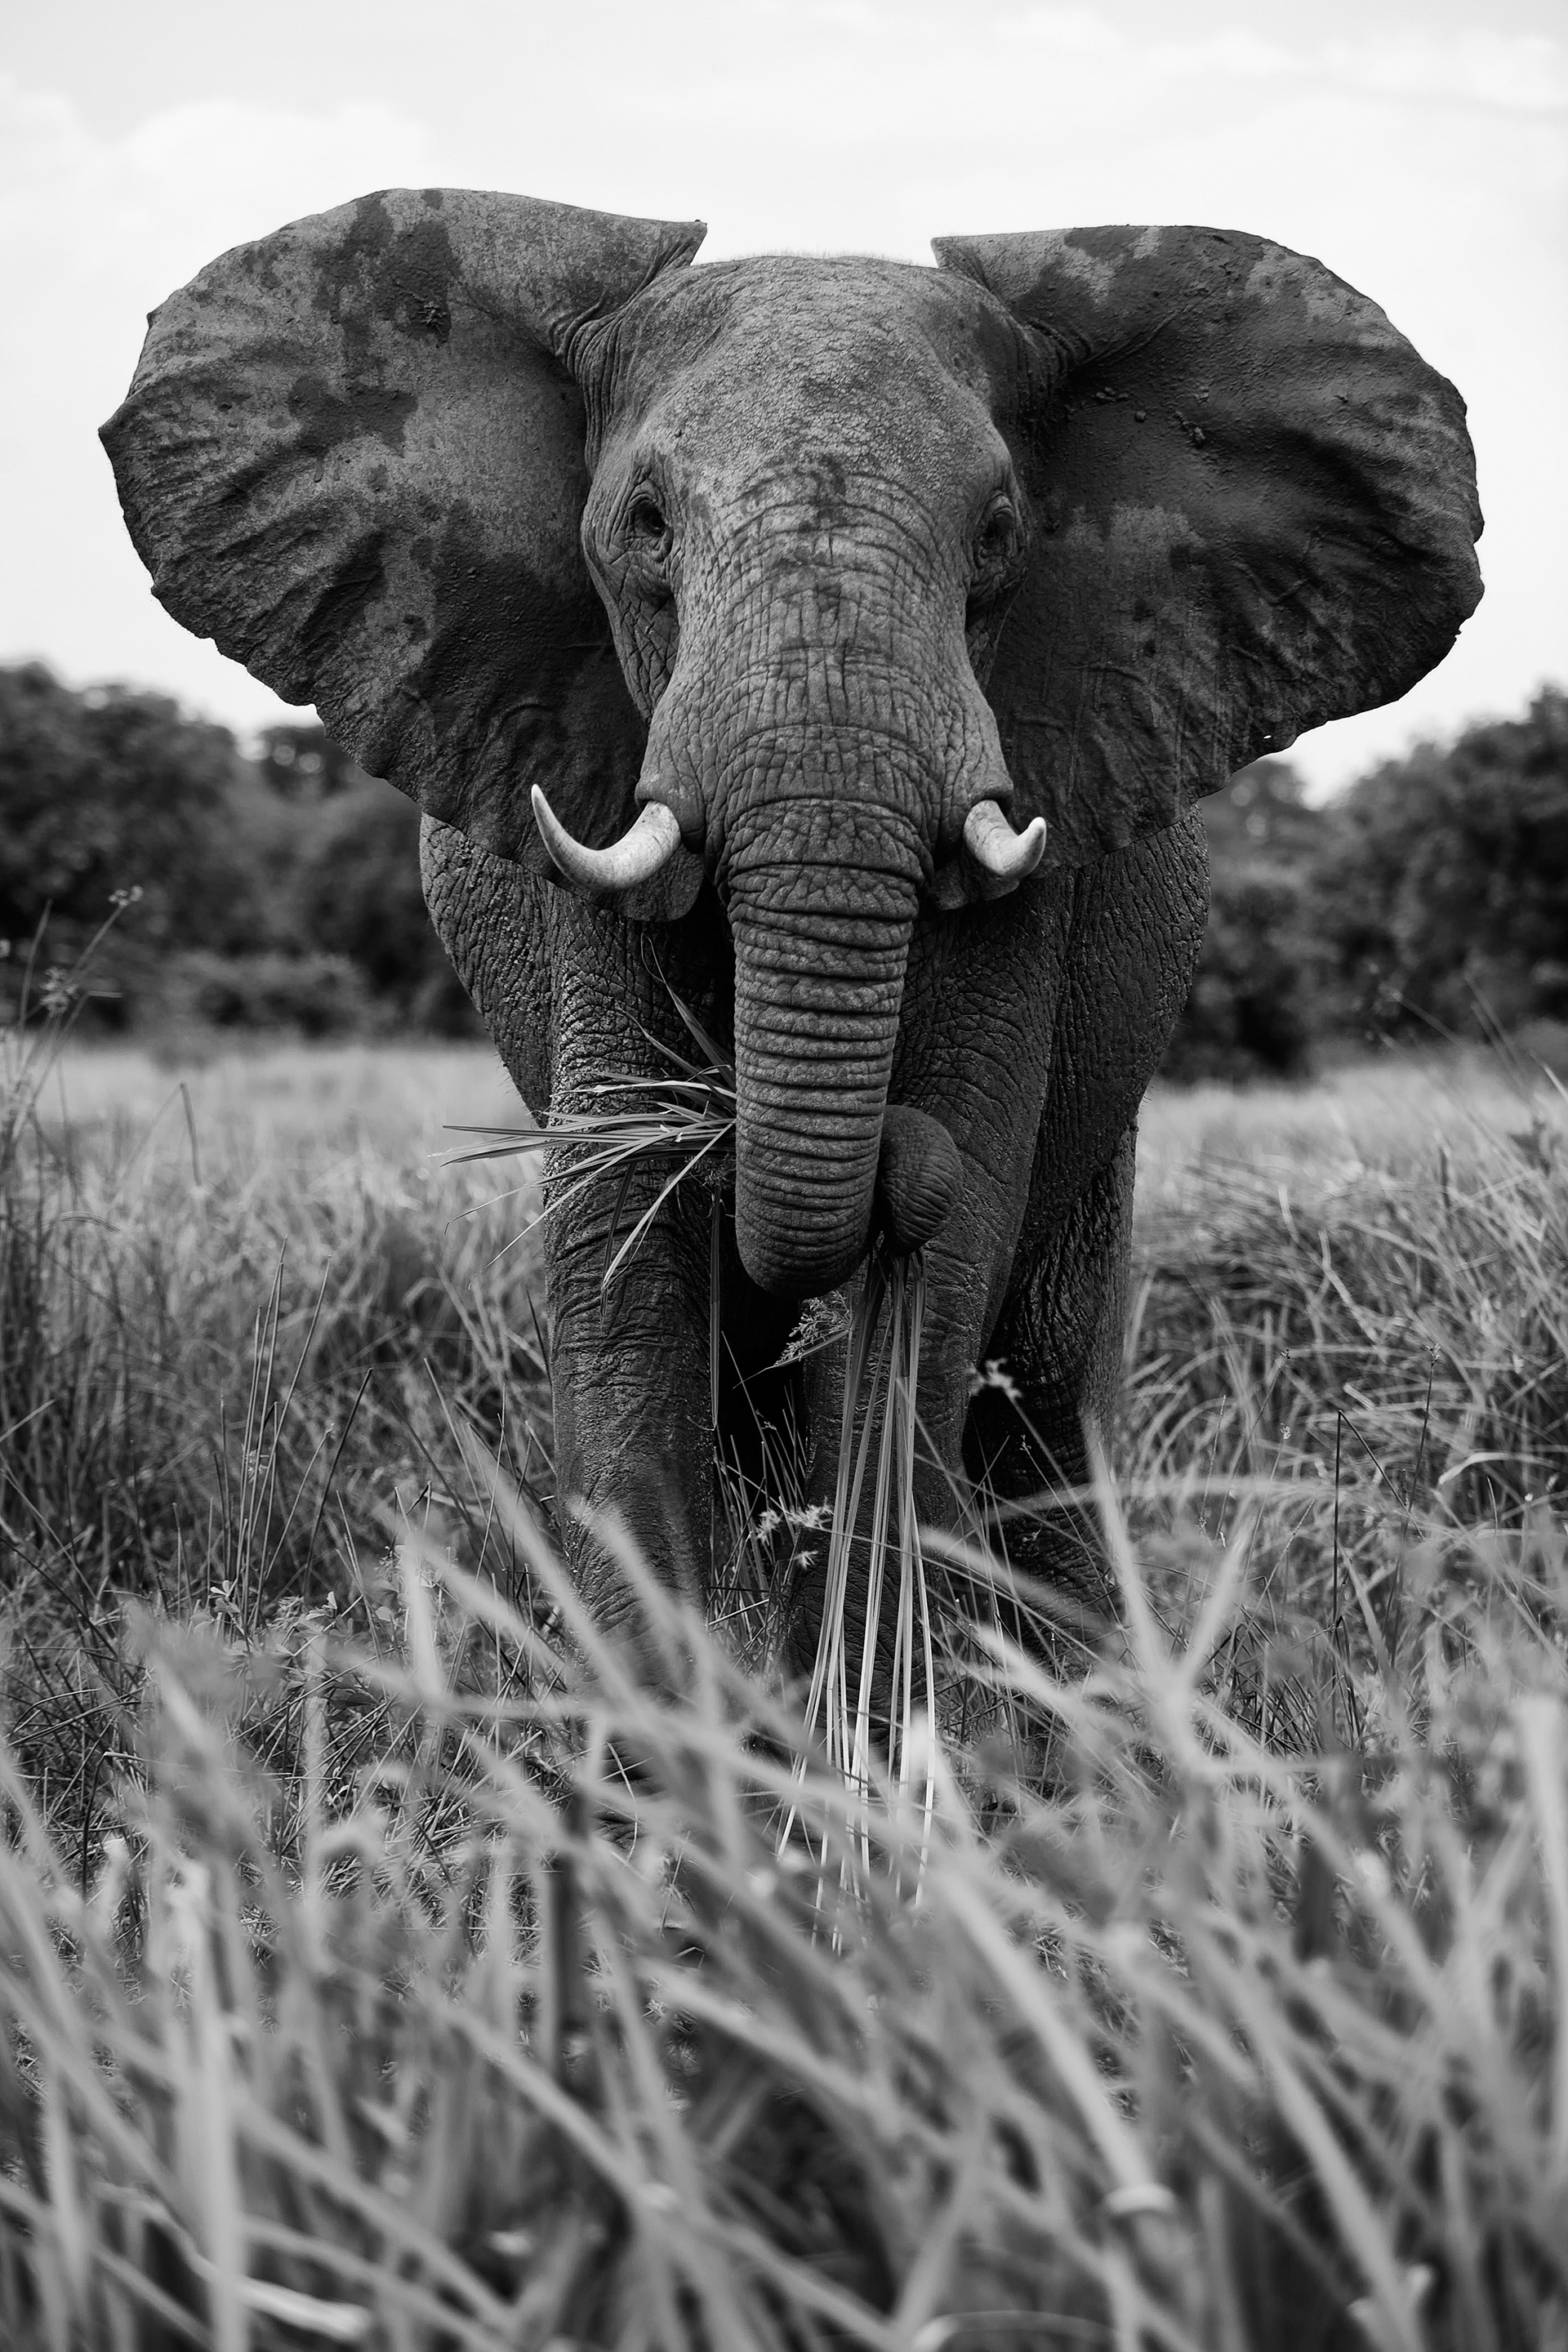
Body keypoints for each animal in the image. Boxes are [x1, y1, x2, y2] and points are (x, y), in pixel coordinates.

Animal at [102, 188, 1481, 1681]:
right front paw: (664, 1723)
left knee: (1049, 1400)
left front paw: (884, 1713)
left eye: (999, 531)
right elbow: (622, 1232)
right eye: (646, 523)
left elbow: (949, 1234)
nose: (881, 1162)